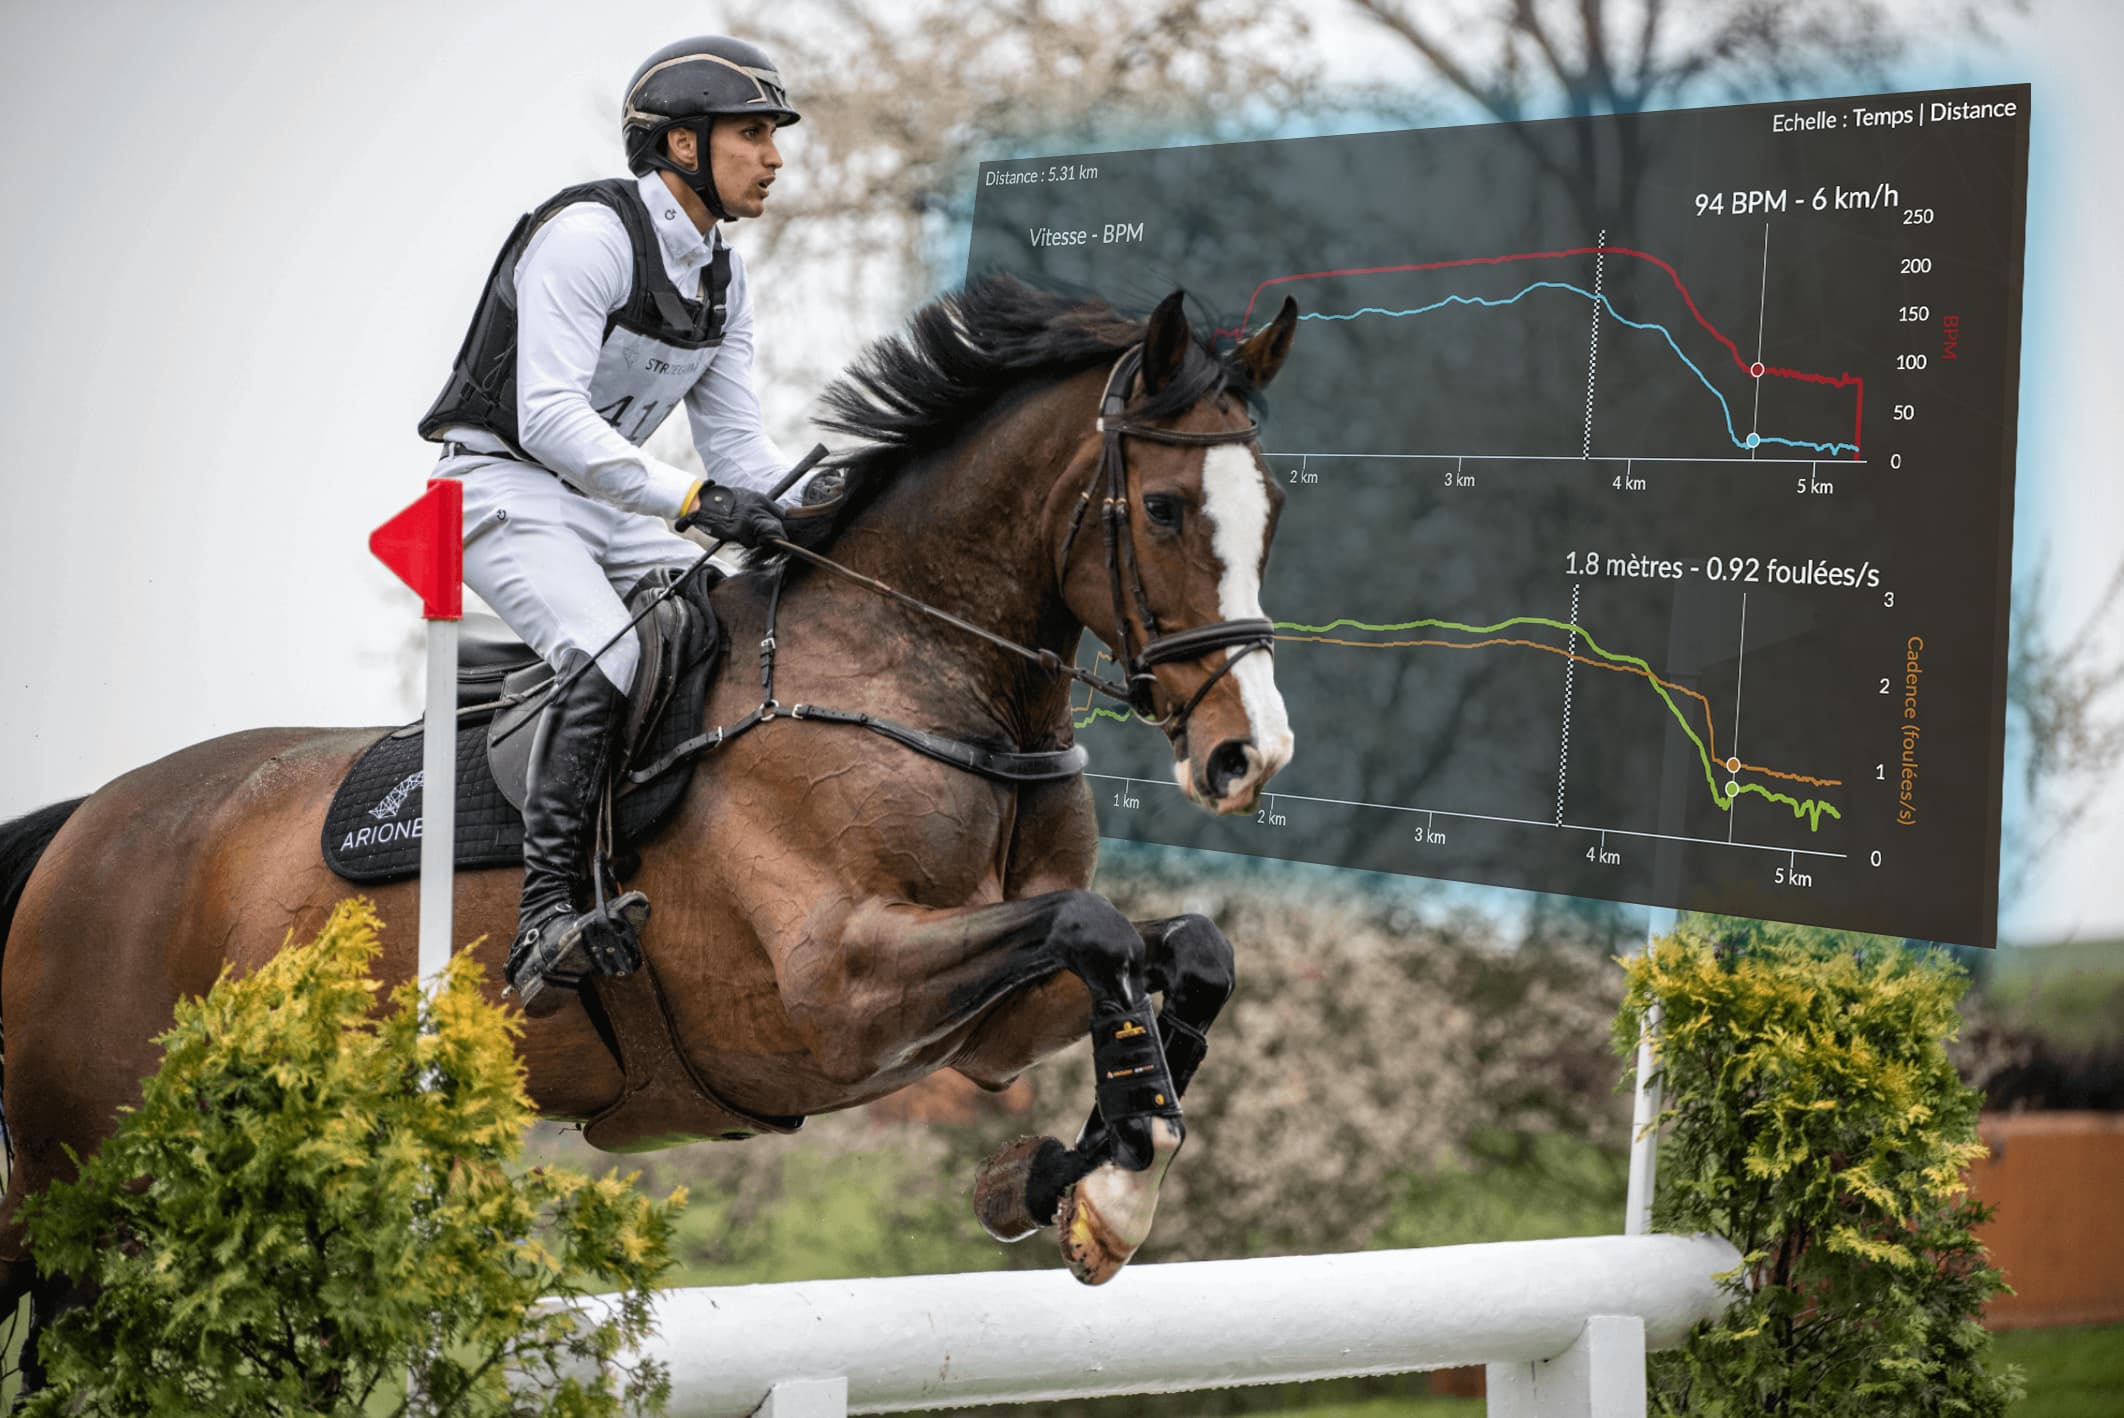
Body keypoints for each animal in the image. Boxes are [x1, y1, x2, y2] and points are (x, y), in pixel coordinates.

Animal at [0, 273, 1299, 1350]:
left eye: (1273, 508)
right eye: (1168, 509)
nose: (1249, 753)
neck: (923, 679)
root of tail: (87, 820)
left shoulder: (974, 1028)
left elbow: (1179, 950)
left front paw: (1070, 1176)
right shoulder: (838, 989)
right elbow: (1093, 927)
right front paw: (1111, 1182)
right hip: (83, 1165)